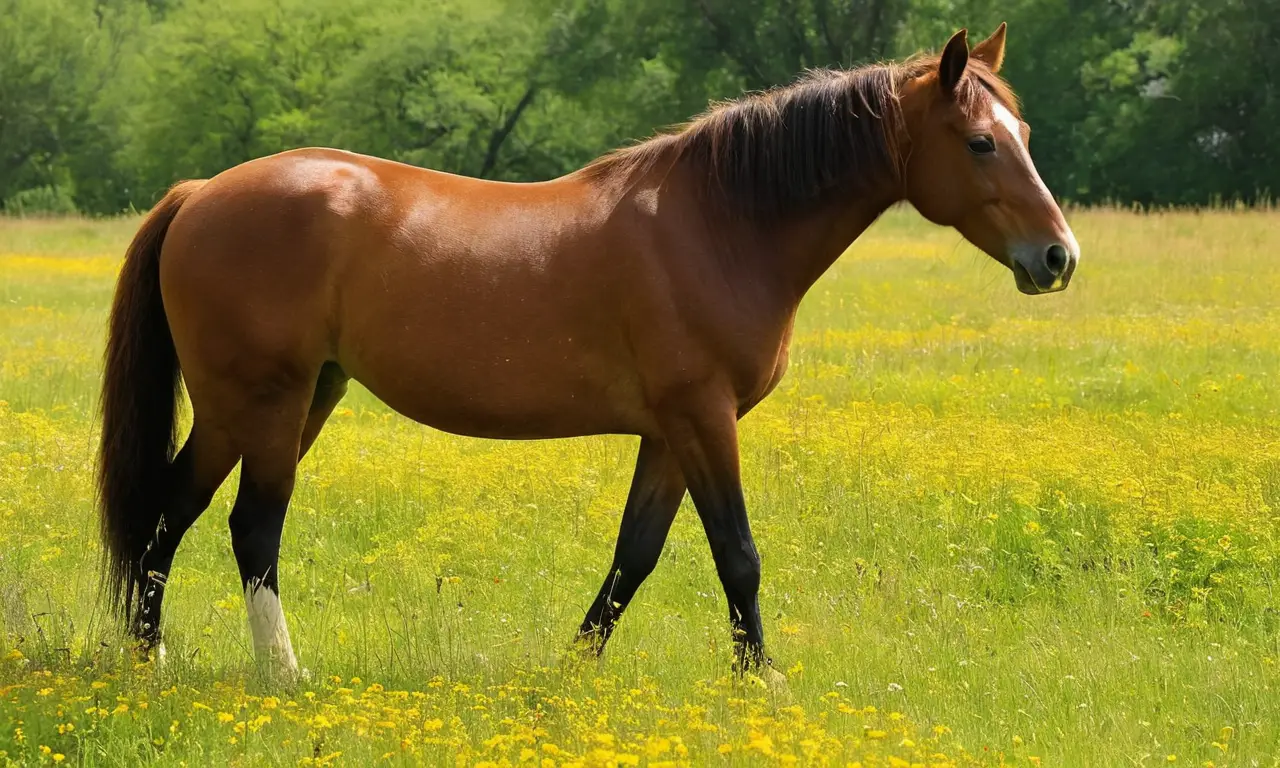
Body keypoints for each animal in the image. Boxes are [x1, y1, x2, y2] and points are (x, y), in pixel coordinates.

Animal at [98, 24, 1078, 677]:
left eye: (1025, 136)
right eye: (980, 142)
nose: (1058, 258)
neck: (719, 224)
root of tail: (201, 193)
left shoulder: (669, 433)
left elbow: (634, 556)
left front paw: (573, 675)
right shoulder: (705, 419)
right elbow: (738, 553)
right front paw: (761, 686)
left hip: (278, 403)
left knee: (168, 514)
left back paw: (149, 660)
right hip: (266, 401)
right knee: (250, 527)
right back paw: (283, 674)